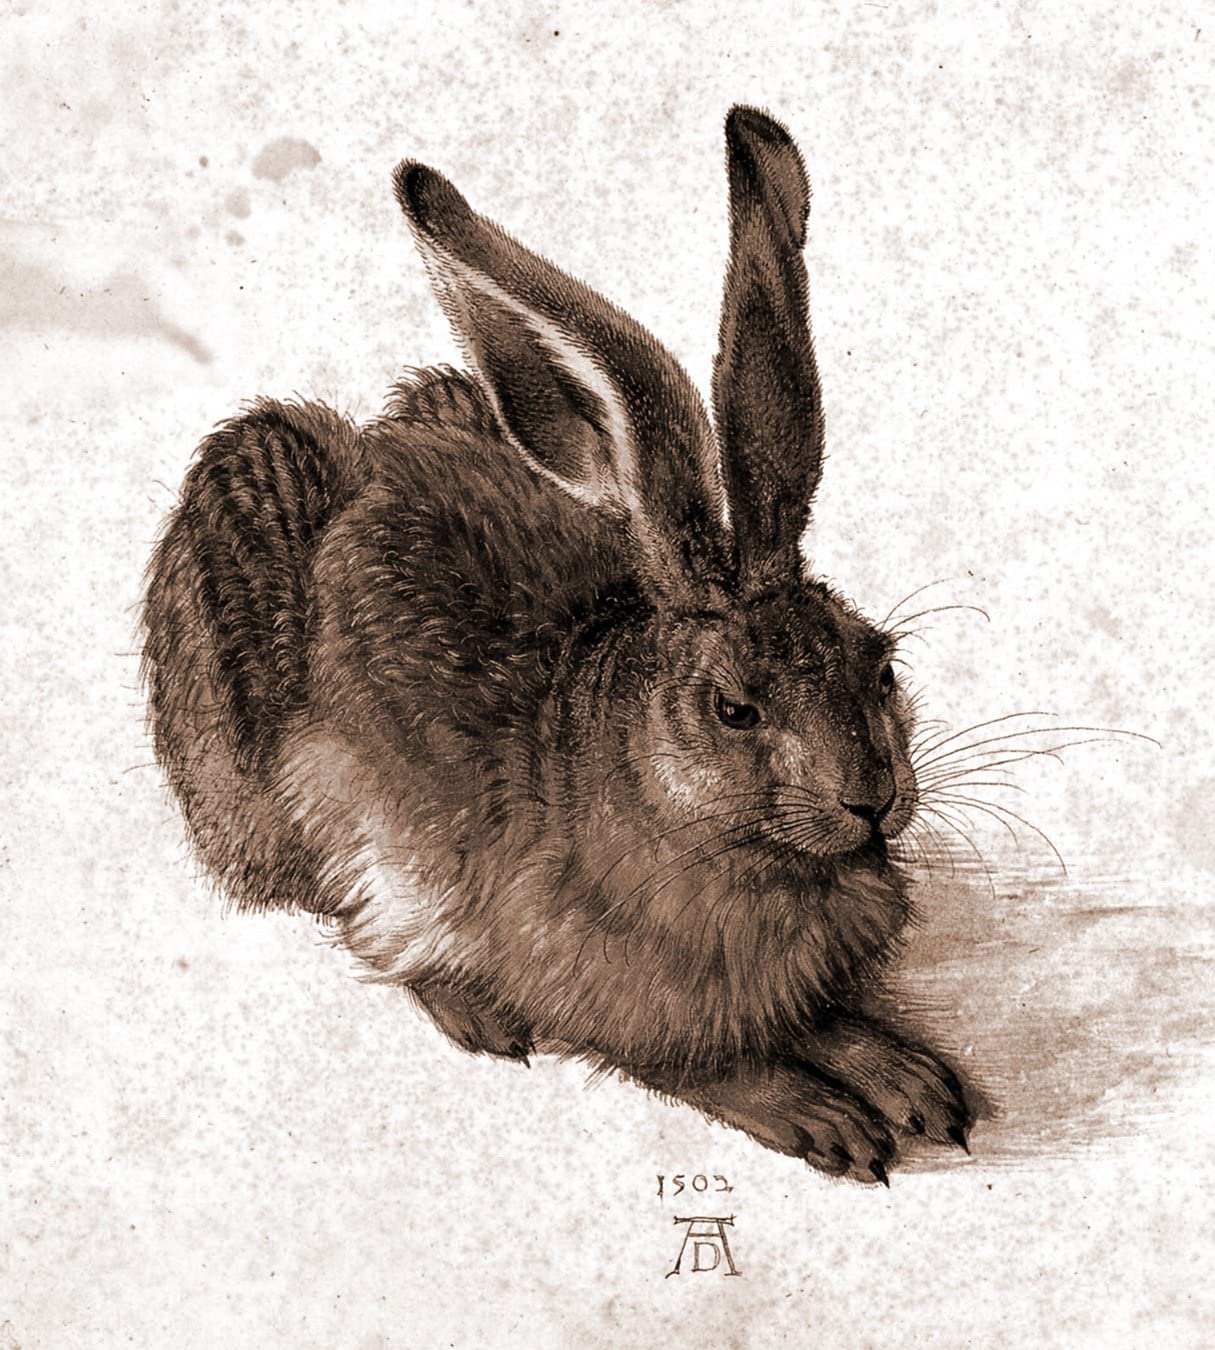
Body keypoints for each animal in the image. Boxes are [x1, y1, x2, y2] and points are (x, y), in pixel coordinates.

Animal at [142, 105, 972, 1184]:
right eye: (734, 708)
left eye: (881, 666)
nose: (871, 799)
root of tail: (374, 453)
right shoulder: (605, 990)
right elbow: (708, 1065)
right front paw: (825, 1116)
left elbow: (833, 1023)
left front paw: (914, 1080)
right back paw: (471, 1010)